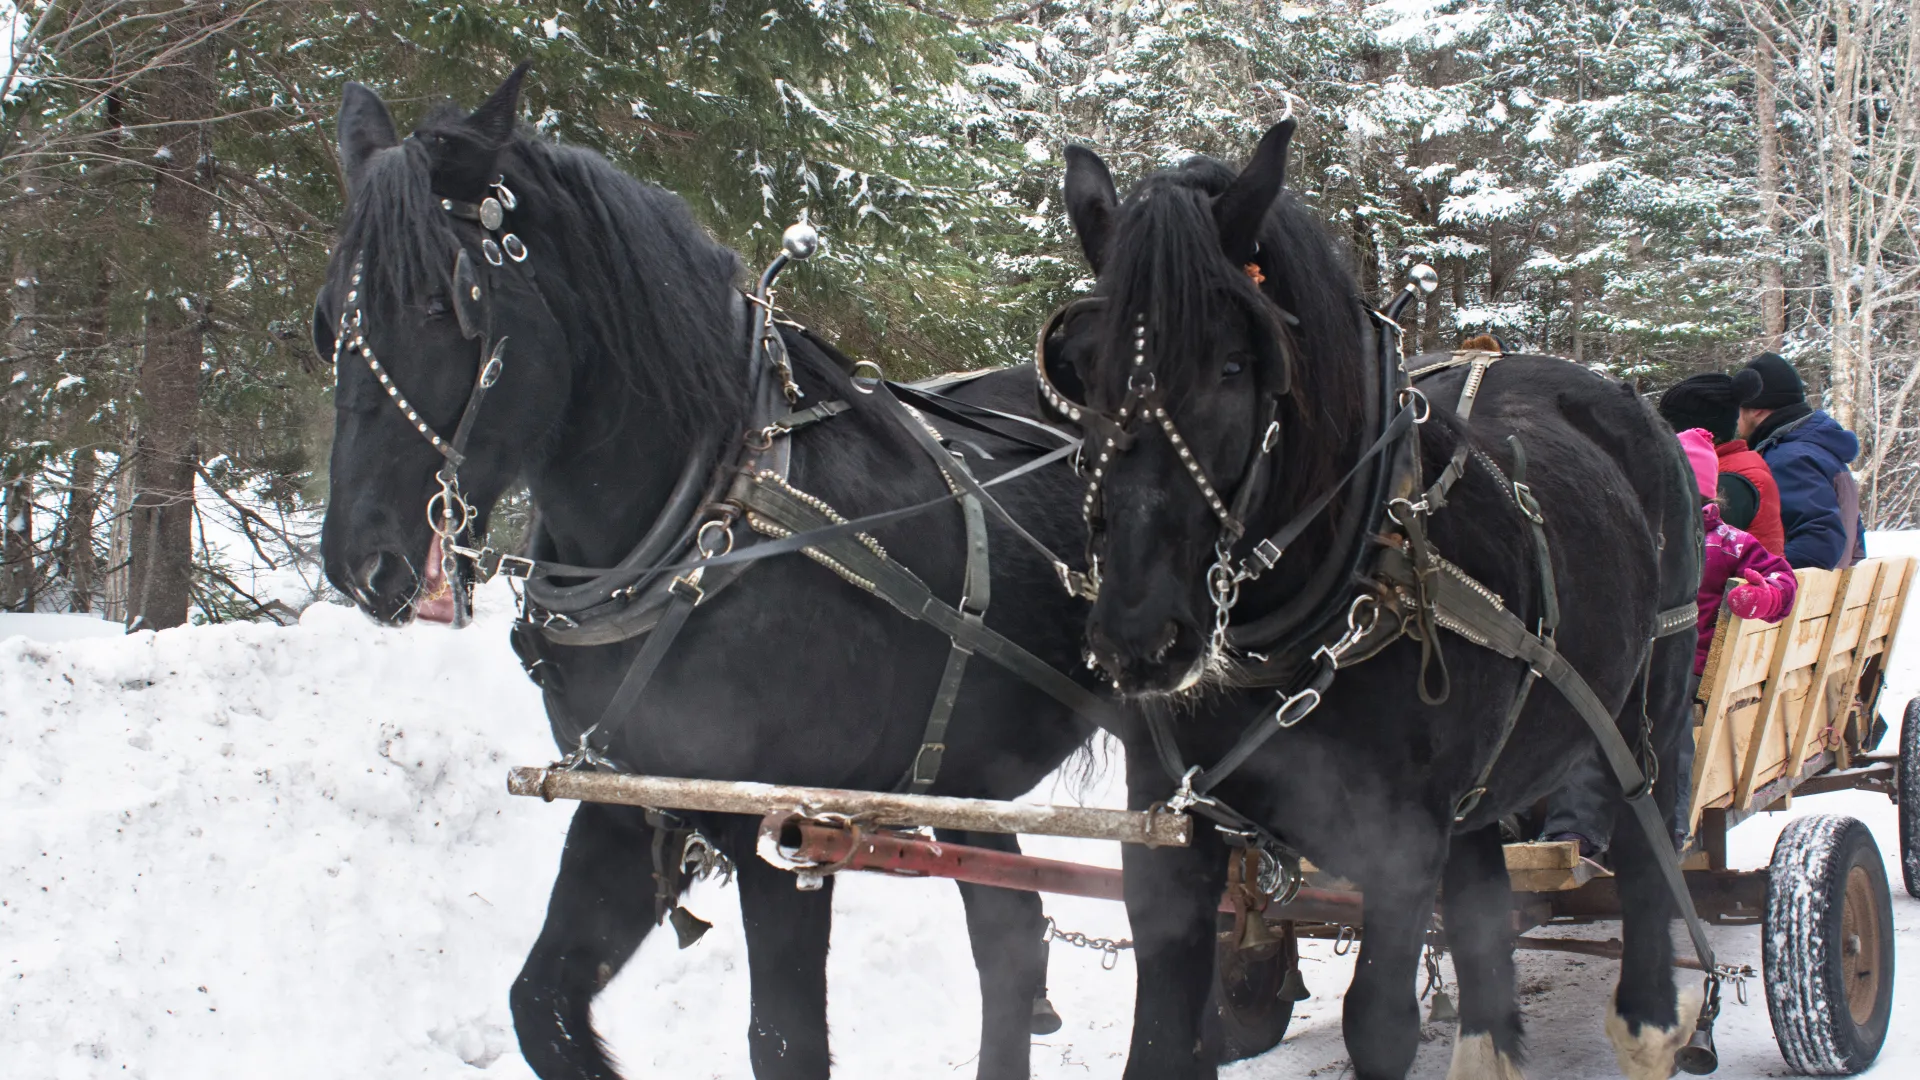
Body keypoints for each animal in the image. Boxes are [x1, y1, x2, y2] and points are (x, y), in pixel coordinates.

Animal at [316, 68, 1114, 1080]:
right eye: (327, 320)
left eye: (440, 303)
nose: (360, 557)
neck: (705, 527)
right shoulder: (629, 805)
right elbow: (542, 1005)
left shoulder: (789, 833)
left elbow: (783, 1042)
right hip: (970, 769)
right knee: (1010, 939)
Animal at [1048, 121, 1706, 1080]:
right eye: (1080, 370)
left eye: (1235, 363)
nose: (1138, 636)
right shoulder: (1171, 838)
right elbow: (1163, 1036)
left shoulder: (1400, 847)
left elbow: (1380, 1026)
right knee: (1483, 918)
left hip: (1644, 710)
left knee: (1649, 860)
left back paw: (1652, 1020)